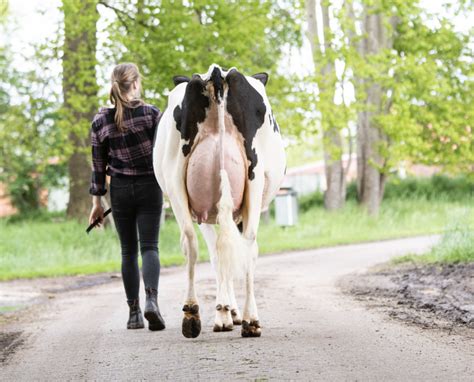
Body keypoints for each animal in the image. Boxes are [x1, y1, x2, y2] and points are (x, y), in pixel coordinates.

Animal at [153, 64, 286, 338]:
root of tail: (217, 73)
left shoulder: (203, 212)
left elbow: (218, 254)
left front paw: (225, 311)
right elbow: (226, 255)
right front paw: (227, 312)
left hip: (176, 180)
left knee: (192, 242)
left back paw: (192, 313)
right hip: (252, 180)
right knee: (247, 245)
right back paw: (249, 319)